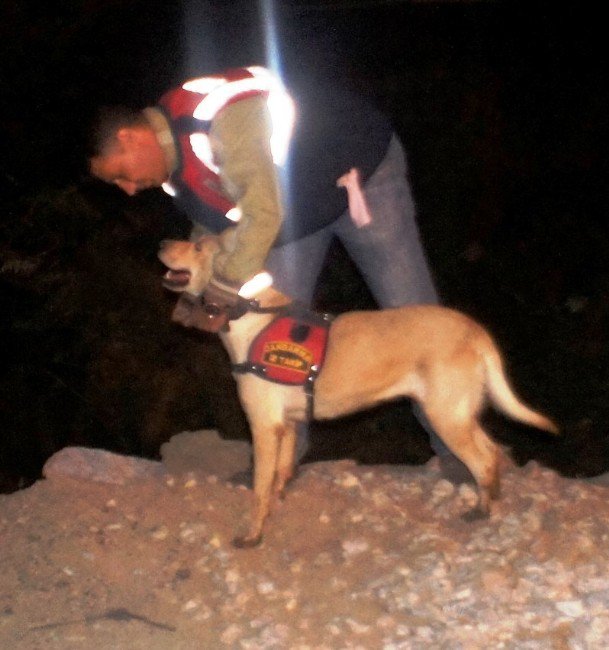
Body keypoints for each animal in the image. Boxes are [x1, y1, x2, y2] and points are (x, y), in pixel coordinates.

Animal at [159, 230, 560, 544]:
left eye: (198, 246)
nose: (162, 242)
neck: (252, 311)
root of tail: (474, 330)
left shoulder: (263, 426)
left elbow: (259, 488)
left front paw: (253, 534)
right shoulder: (287, 425)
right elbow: (281, 474)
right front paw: (278, 501)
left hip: (445, 417)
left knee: (483, 458)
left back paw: (482, 509)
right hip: (458, 414)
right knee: (492, 452)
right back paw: (491, 497)